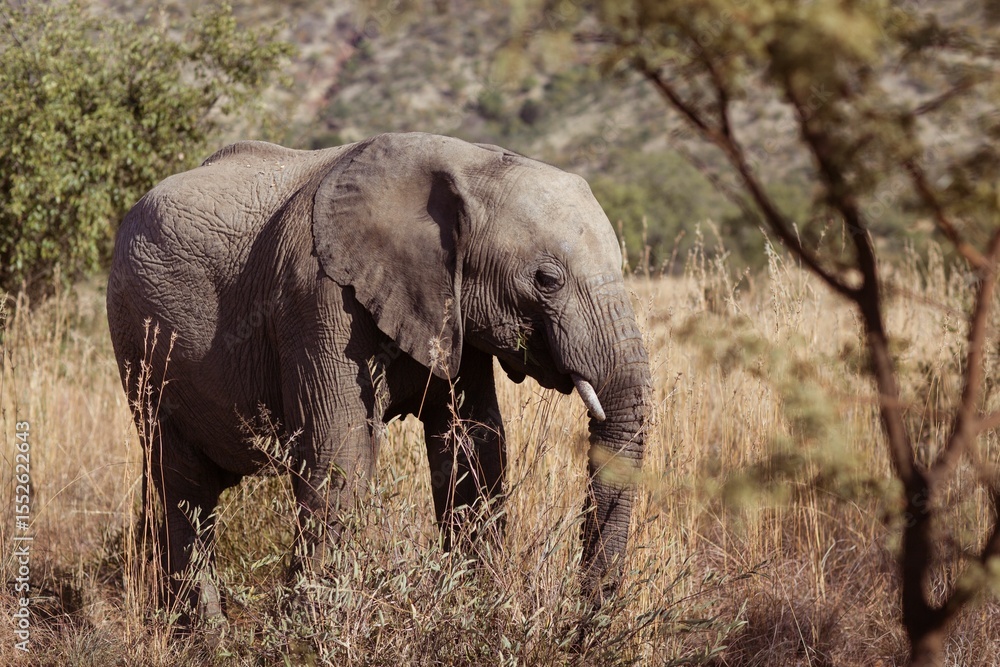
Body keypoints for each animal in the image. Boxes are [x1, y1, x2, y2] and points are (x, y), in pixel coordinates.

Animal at [106, 132, 651, 623]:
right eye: (547, 280)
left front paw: (476, 607)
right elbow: (342, 450)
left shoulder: (451, 311)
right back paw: (206, 636)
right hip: (139, 339)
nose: (586, 616)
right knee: (184, 487)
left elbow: (474, 445)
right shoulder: (318, 297)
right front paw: (312, 633)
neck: (469, 163)